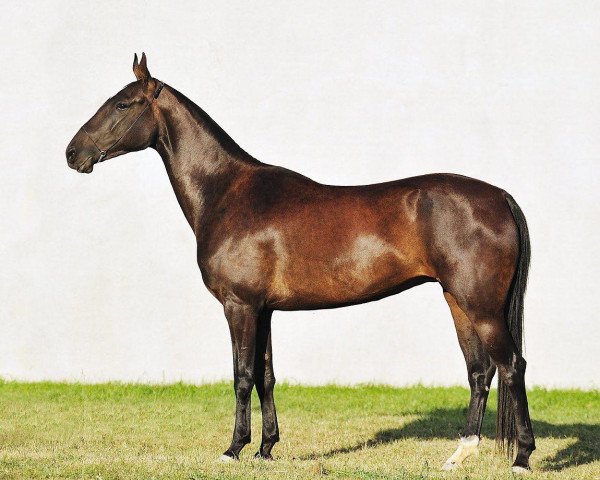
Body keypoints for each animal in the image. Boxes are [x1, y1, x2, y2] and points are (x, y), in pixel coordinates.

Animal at [65, 53, 536, 472]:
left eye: (123, 104)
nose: (72, 153)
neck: (227, 191)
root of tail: (500, 197)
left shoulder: (239, 306)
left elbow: (241, 376)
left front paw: (233, 449)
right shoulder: (264, 310)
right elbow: (265, 376)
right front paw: (266, 449)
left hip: (482, 307)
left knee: (512, 367)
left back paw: (523, 457)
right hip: (458, 302)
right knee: (479, 372)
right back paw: (459, 455)